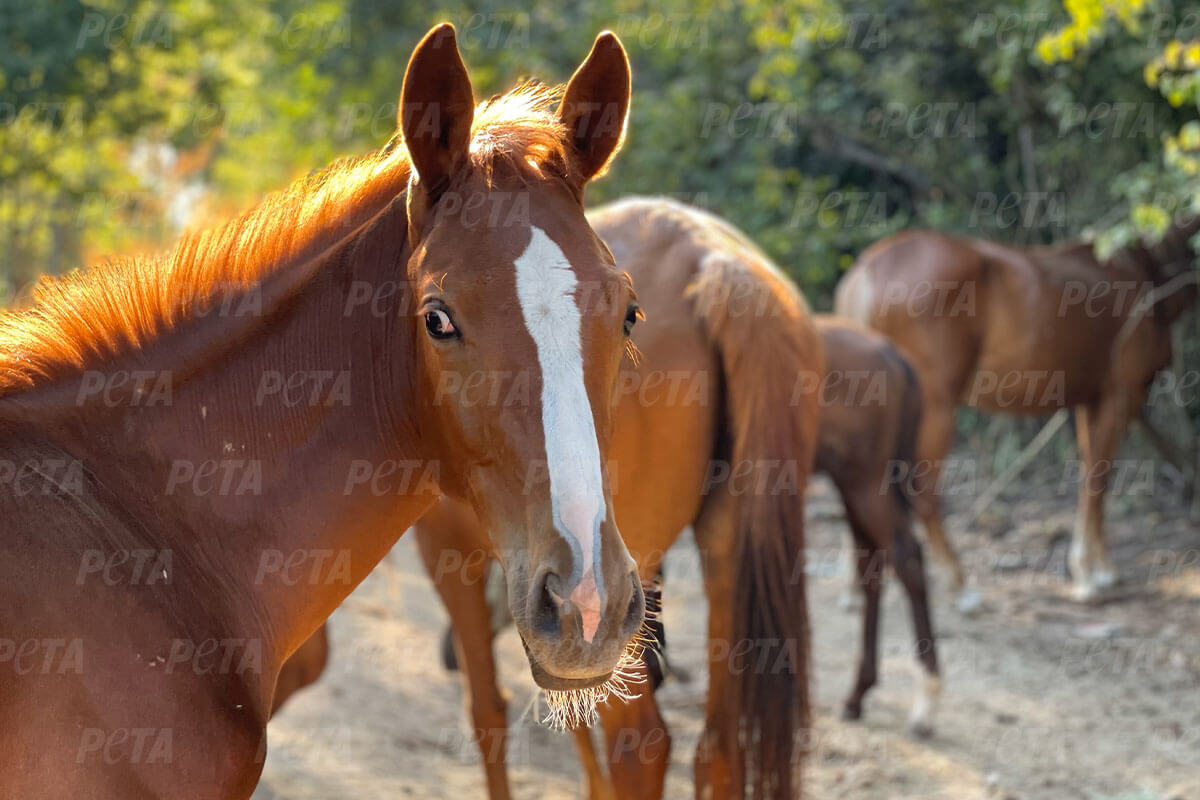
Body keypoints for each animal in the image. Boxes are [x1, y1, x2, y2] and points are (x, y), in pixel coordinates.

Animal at [835, 220, 1200, 599]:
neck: (1148, 269)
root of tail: (868, 270)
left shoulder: (1091, 401)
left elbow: (1091, 472)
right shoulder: (1120, 396)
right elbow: (1098, 479)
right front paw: (1092, 572)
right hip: (935, 410)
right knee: (924, 494)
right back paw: (960, 587)